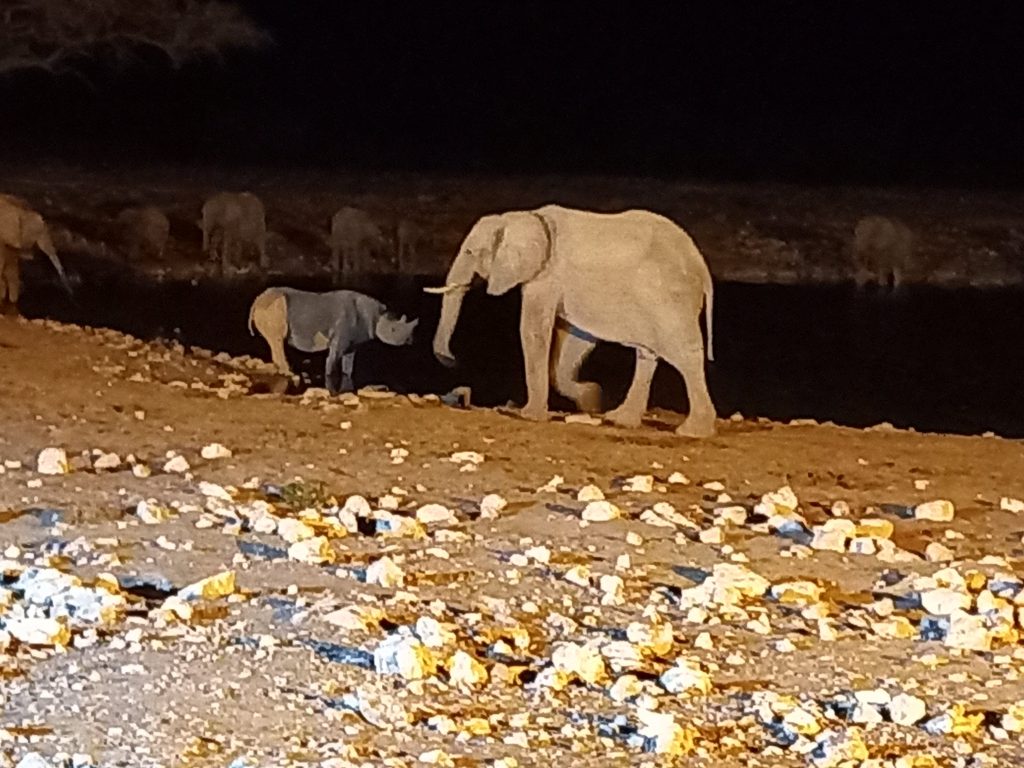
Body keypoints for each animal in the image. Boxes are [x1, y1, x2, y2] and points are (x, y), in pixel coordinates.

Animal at [248, 286, 419, 394]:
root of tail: (257, 301)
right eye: (393, 330)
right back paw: (291, 374)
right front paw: (329, 379)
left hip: (269, 307)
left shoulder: (352, 344)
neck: (377, 316)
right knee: (277, 339)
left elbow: (348, 366)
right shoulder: (340, 338)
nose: (410, 340)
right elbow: (331, 361)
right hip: (273, 308)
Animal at [424, 204, 717, 438]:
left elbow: (533, 331)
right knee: (647, 354)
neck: (522, 218)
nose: (453, 360)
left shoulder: (545, 277)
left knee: (685, 354)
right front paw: (592, 400)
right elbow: (577, 340)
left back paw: (692, 432)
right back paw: (618, 419)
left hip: (668, 299)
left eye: (470, 252)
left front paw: (528, 416)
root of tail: (702, 267)